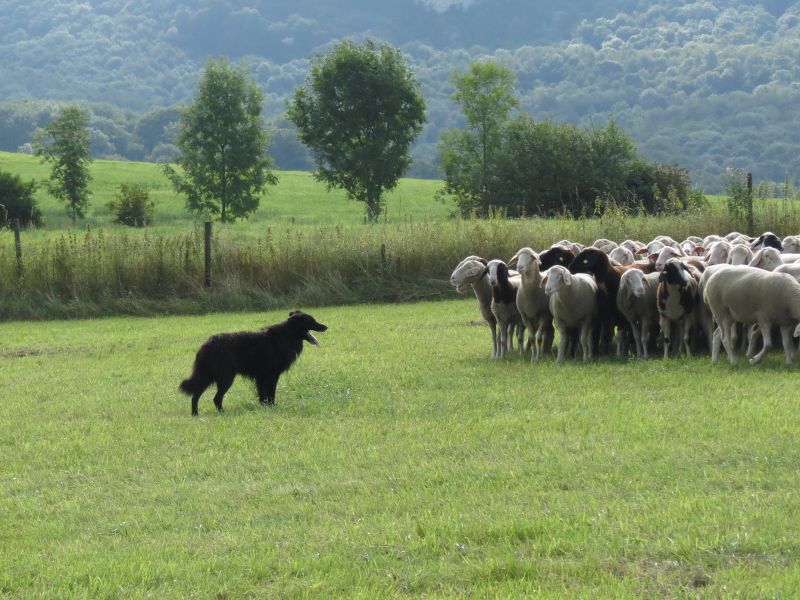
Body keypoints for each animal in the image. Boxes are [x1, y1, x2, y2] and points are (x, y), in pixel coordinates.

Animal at [180, 312, 326, 414]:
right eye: (312, 320)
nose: (326, 326)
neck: (288, 335)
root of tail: (207, 344)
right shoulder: (272, 375)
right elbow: (271, 394)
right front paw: (272, 407)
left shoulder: (261, 377)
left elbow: (262, 396)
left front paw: (264, 408)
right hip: (225, 378)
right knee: (216, 398)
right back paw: (222, 413)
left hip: (207, 376)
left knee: (195, 396)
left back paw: (195, 414)